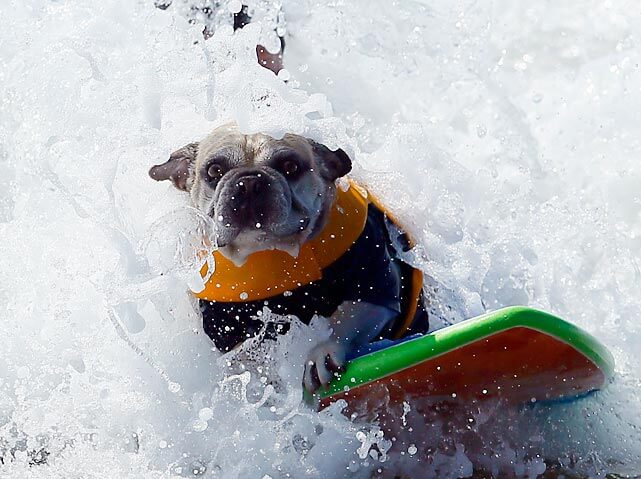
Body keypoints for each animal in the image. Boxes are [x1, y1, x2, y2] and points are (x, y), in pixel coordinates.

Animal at [148, 124, 428, 394]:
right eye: (214, 170)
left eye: (290, 166)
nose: (249, 182)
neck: (271, 252)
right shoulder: (225, 324)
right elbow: (248, 354)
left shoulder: (372, 280)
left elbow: (351, 316)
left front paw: (323, 352)